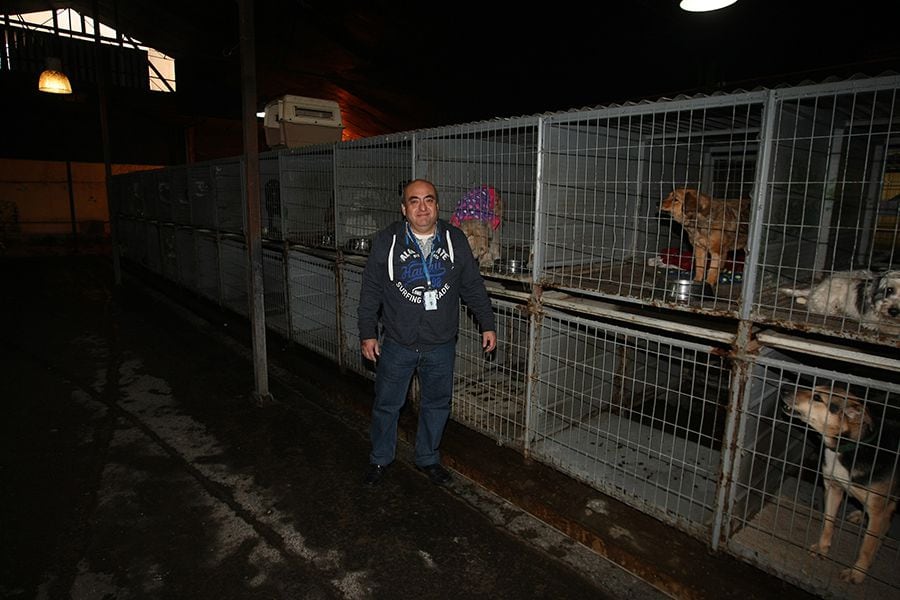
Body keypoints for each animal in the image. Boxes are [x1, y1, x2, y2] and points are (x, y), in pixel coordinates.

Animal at [780, 386, 900, 584]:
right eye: (814, 388)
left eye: (817, 397)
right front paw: (822, 548)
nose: (784, 389)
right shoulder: (833, 488)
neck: (850, 447)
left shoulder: (879, 511)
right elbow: (829, 522)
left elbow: (867, 546)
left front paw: (857, 573)